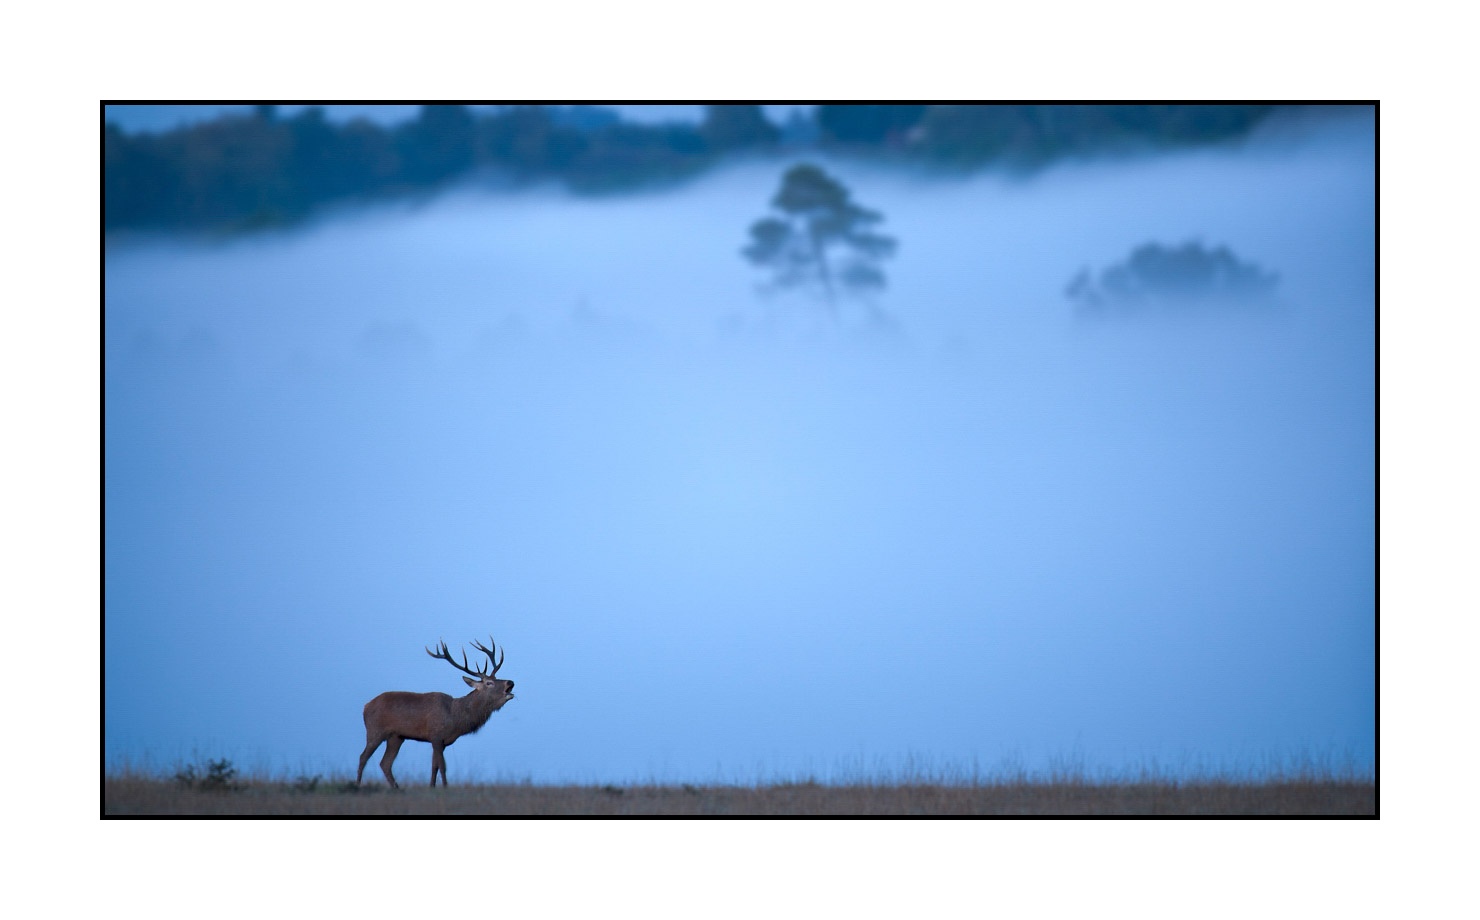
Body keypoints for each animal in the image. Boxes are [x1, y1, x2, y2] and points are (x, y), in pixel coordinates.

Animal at [356, 637, 515, 788]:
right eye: (489, 683)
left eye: (496, 678)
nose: (510, 682)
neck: (455, 719)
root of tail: (366, 707)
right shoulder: (436, 736)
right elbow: (443, 766)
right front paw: (445, 787)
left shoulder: (440, 741)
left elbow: (434, 766)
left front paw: (432, 787)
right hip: (375, 730)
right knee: (363, 757)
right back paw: (358, 784)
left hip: (396, 737)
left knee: (385, 763)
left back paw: (396, 788)